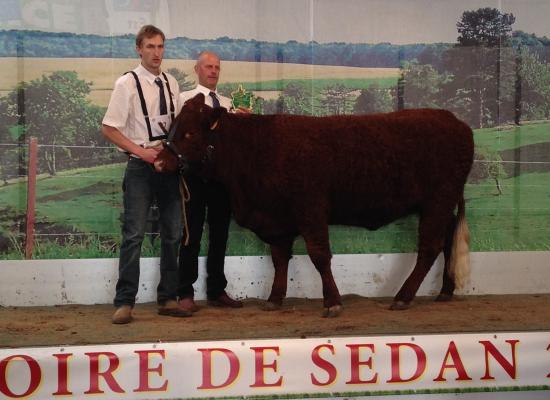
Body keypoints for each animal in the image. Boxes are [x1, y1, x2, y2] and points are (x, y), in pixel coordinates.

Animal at [154, 94, 474, 318]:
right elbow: (280, 259)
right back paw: (445, 291)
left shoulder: (311, 211)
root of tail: (455, 120)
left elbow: (320, 256)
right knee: (447, 241)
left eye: (190, 133)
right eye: (171, 128)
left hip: (437, 201)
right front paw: (274, 299)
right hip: (441, 206)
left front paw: (332, 302)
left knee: (429, 248)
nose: (159, 161)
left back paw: (403, 297)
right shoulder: (278, 221)